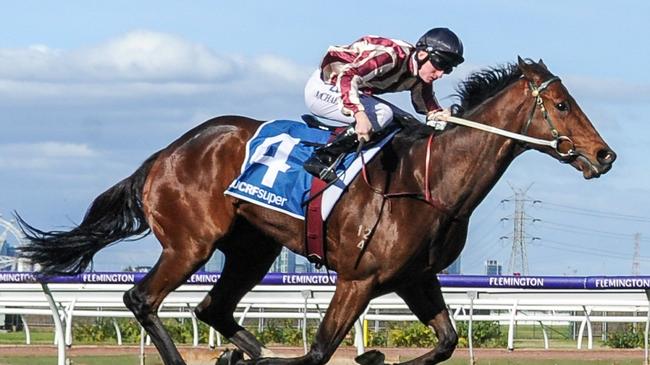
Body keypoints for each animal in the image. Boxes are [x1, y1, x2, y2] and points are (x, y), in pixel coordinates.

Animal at [15, 57, 612, 364]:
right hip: (191, 243)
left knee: (211, 309)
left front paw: (374, 357)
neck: (429, 180)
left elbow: (444, 343)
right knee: (142, 299)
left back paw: (247, 355)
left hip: (252, 249)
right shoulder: (357, 277)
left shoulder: (414, 278)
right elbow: (320, 350)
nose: (604, 155)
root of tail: (165, 154)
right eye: (562, 104)